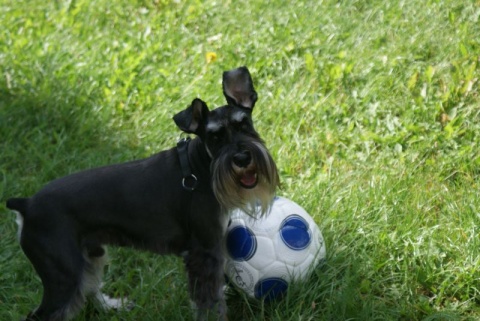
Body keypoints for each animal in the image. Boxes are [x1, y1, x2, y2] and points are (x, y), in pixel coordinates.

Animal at [5, 65, 280, 320]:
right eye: (214, 137)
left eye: (244, 124)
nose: (242, 158)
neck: (201, 168)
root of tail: (27, 205)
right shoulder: (205, 252)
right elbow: (210, 303)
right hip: (63, 275)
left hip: (90, 255)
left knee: (89, 287)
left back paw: (112, 306)